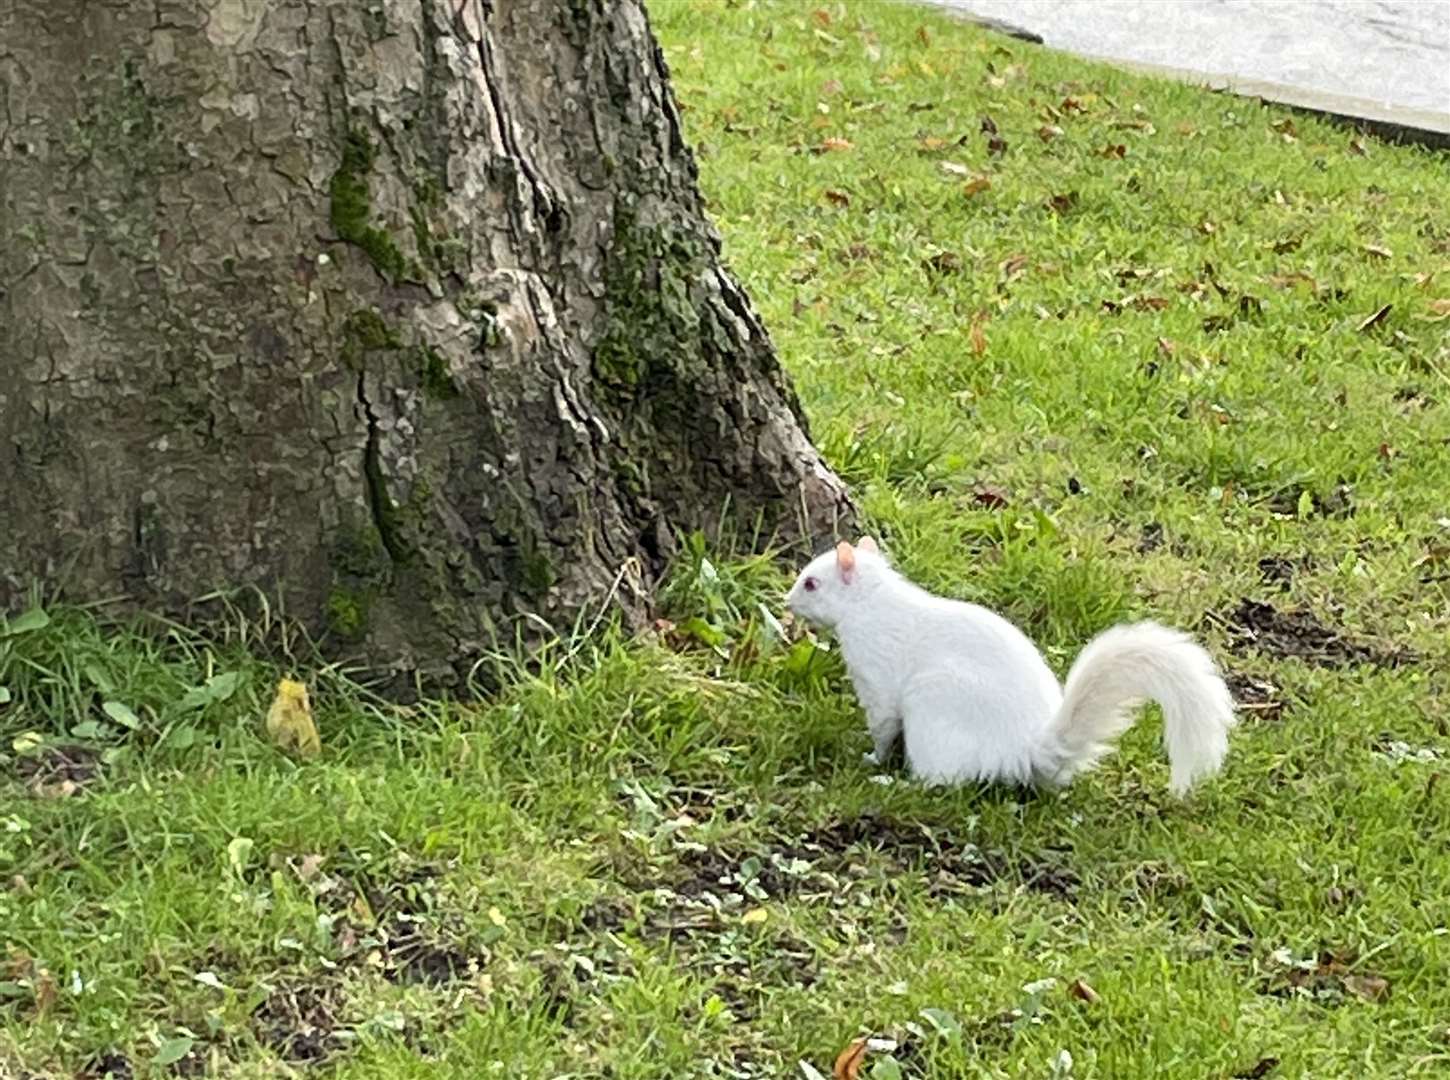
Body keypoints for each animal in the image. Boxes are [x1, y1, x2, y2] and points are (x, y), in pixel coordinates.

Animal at [788, 536, 1241, 794]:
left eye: (811, 583)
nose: (787, 602)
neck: (870, 602)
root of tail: (1026, 752)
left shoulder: (877, 676)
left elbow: (882, 725)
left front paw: (874, 758)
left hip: (935, 712)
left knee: (941, 781)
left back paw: (894, 782)